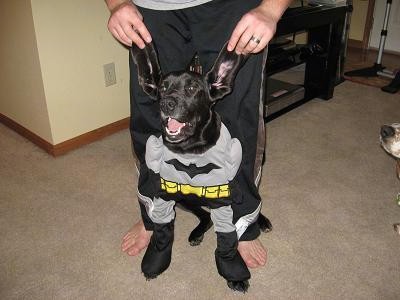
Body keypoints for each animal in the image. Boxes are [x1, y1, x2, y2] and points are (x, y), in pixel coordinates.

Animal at [131, 42, 272, 292]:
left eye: (192, 88)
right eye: (163, 87)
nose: (166, 103)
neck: (191, 149)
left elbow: (229, 233)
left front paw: (233, 271)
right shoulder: (165, 192)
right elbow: (162, 229)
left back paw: (261, 220)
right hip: (184, 199)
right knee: (205, 217)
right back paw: (197, 233)